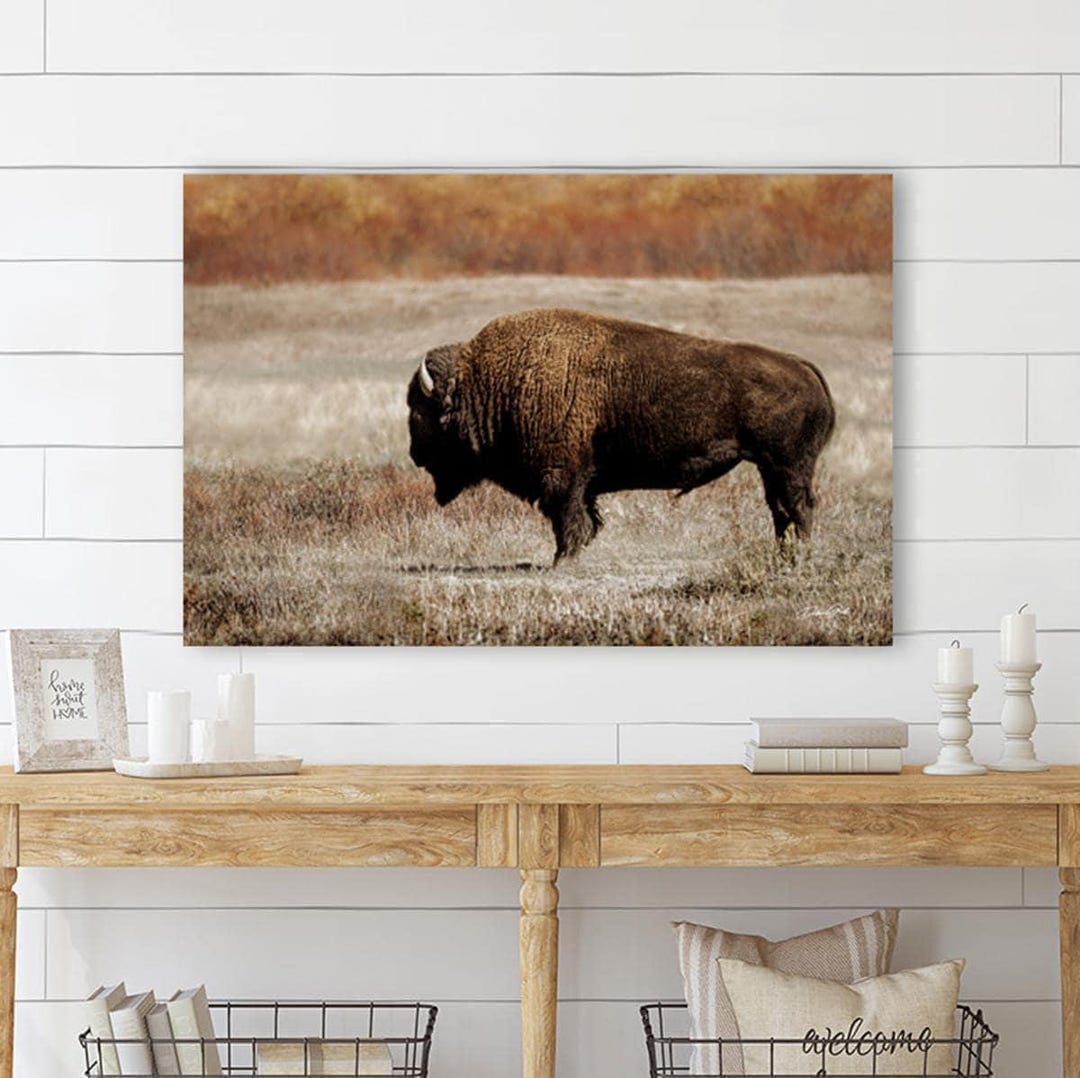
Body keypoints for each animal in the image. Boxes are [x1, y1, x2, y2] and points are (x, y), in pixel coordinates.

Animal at [407, 308, 835, 565]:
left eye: (419, 410)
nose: (414, 454)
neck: (486, 379)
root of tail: (802, 366)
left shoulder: (561, 476)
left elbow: (567, 517)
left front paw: (562, 560)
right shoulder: (582, 482)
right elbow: (586, 517)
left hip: (787, 465)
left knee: (797, 507)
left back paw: (799, 556)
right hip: (770, 467)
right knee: (781, 510)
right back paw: (784, 555)